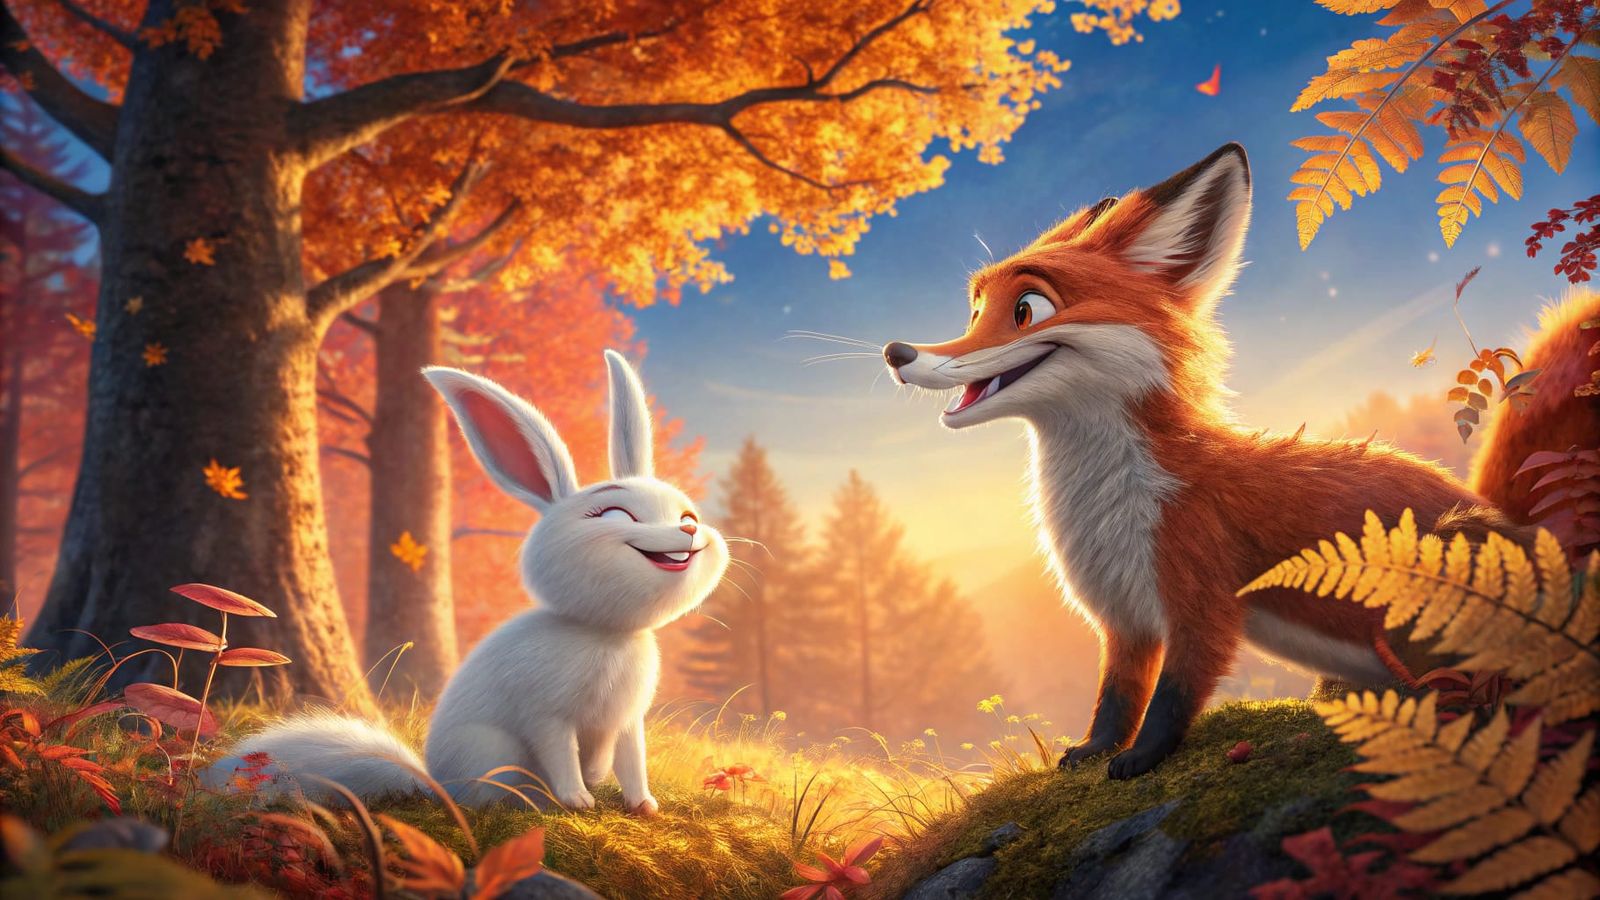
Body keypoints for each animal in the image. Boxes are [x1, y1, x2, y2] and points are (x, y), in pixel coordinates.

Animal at [210, 350, 729, 814]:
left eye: (686, 515)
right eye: (615, 515)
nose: (688, 532)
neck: (607, 633)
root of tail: (434, 782)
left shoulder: (627, 720)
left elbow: (631, 762)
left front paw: (643, 806)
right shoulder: (545, 714)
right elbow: (562, 752)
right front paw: (579, 800)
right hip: (491, 749)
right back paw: (531, 805)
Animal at [882, 142, 1545, 780]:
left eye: (1026, 309)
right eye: (974, 311)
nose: (897, 351)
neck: (1117, 505)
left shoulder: (1203, 602)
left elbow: (1173, 697)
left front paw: (1139, 761)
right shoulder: (1124, 621)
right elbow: (1115, 698)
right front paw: (1094, 751)